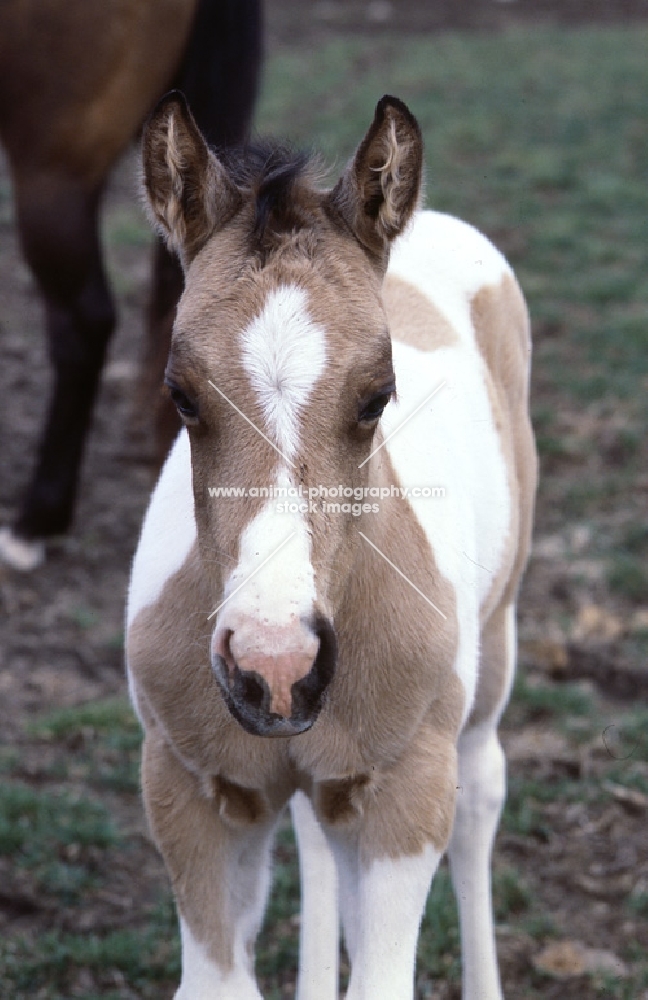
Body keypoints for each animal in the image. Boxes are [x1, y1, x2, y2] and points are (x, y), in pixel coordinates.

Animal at [126, 95, 536, 1000]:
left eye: (378, 396)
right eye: (180, 395)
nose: (275, 663)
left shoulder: (405, 794)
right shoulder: (190, 789)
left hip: (492, 653)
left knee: (483, 797)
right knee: (318, 846)